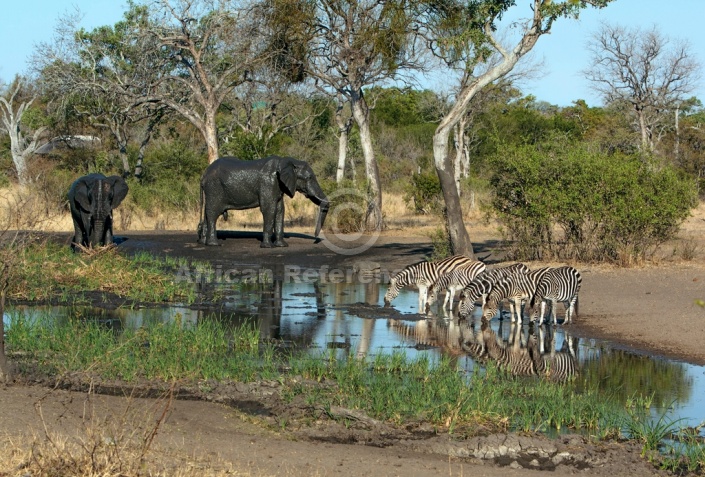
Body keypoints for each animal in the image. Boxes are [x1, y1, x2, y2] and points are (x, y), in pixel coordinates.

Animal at [198, 156, 330, 247]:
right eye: (309, 178)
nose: (315, 238)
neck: (286, 161)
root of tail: (203, 175)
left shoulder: (278, 186)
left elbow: (280, 211)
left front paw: (282, 246)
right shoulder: (268, 183)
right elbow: (269, 210)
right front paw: (268, 247)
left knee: (207, 214)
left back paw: (203, 242)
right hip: (214, 188)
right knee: (213, 213)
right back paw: (215, 244)